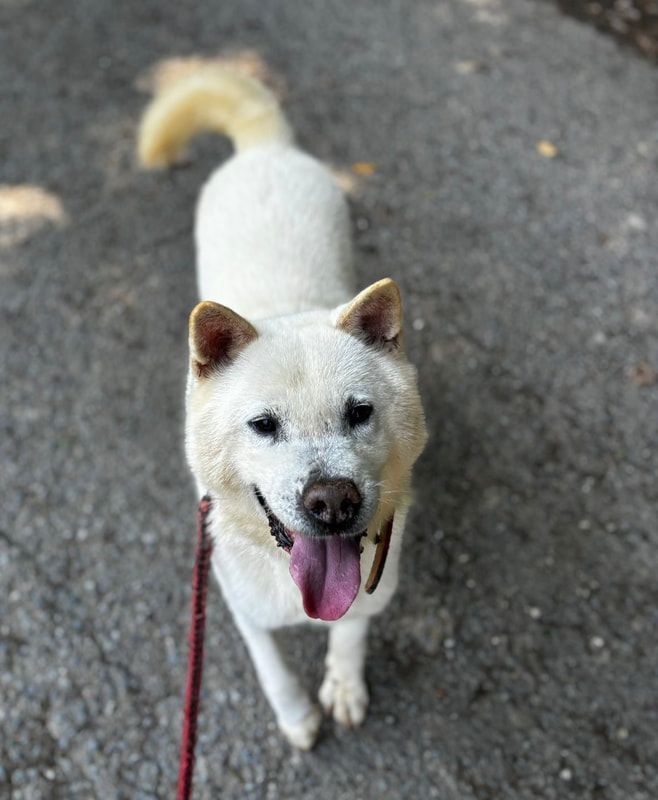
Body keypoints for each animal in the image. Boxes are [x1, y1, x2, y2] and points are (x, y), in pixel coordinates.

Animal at [137, 64, 426, 752]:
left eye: (360, 413)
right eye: (264, 426)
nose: (333, 503)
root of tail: (264, 148)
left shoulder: (372, 592)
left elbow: (350, 635)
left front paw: (343, 685)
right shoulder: (236, 603)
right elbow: (271, 668)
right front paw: (297, 715)